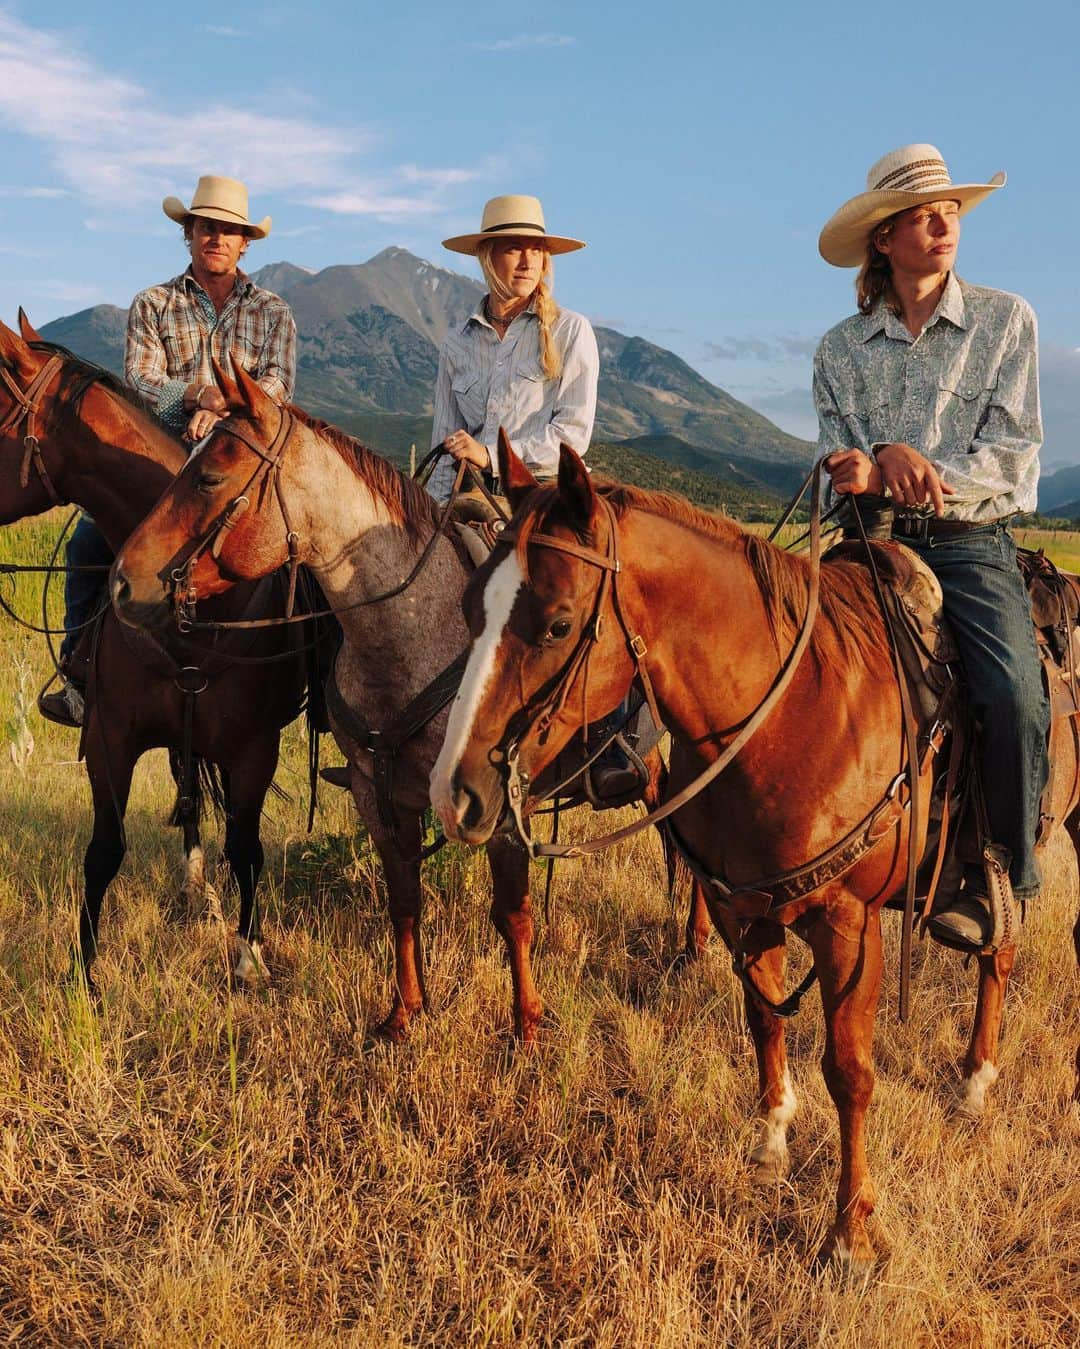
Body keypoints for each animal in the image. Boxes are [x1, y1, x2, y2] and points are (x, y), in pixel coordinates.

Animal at [0, 315, 311, 992]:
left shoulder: (255, 749)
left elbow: (246, 851)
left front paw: (248, 957)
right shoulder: (110, 739)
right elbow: (104, 851)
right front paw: (85, 974)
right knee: (187, 793)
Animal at [107, 364, 682, 1036]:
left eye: (208, 479)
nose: (123, 582)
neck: (407, 637)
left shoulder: (503, 808)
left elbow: (513, 915)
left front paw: (527, 1027)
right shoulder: (376, 796)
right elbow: (404, 902)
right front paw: (404, 1013)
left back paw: (693, 943)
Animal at [420, 437, 1078, 1268]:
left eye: (558, 623)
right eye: (472, 607)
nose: (455, 793)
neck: (788, 715)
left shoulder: (847, 922)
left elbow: (849, 1070)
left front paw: (852, 1228)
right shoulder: (741, 904)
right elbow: (764, 1019)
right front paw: (770, 1141)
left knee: (1001, 947)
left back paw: (976, 1081)